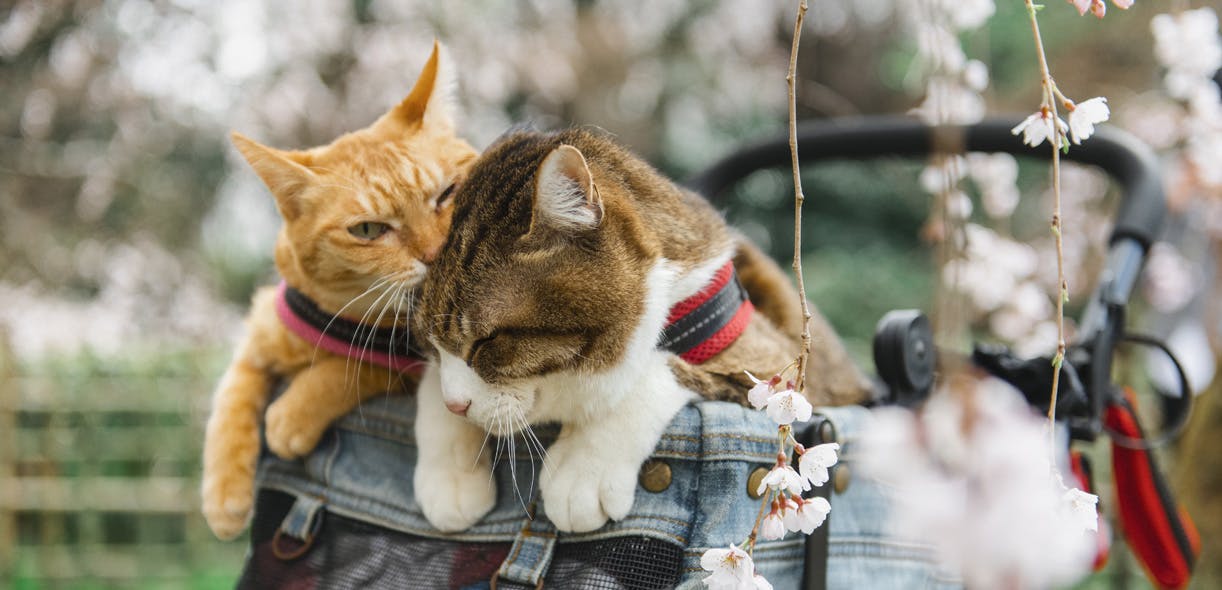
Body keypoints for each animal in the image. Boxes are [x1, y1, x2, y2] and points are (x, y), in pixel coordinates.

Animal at [200, 41, 476, 539]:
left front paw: (291, 414)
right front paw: (224, 493)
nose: (434, 253)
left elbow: (352, 368)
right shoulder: (263, 329)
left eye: (447, 193)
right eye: (368, 230)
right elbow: (231, 394)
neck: (335, 322)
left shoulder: (400, 366)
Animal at [415, 127, 865, 532]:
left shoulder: (781, 371)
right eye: (429, 341)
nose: (456, 405)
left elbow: (655, 371)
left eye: (487, 341)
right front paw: (448, 470)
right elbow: (431, 383)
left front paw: (584, 468)